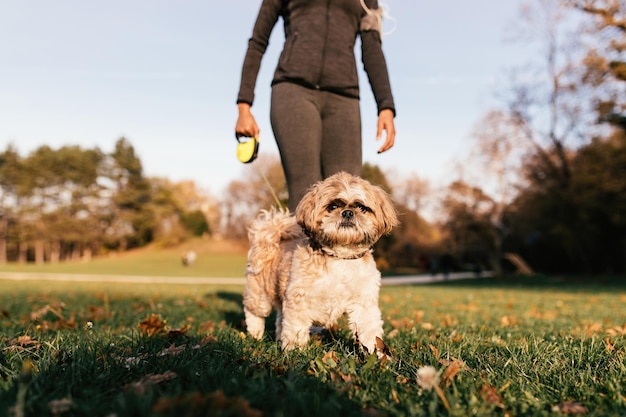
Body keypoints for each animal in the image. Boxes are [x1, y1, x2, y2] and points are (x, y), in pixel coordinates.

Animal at [241, 171, 398, 356]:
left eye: (361, 208)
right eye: (332, 207)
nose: (347, 212)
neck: (340, 257)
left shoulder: (363, 303)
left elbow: (369, 330)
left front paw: (375, 353)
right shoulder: (299, 299)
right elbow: (296, 328)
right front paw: (295, 351)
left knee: (280, 318)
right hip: (260, 295)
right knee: (254, 312)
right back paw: (255, 334)